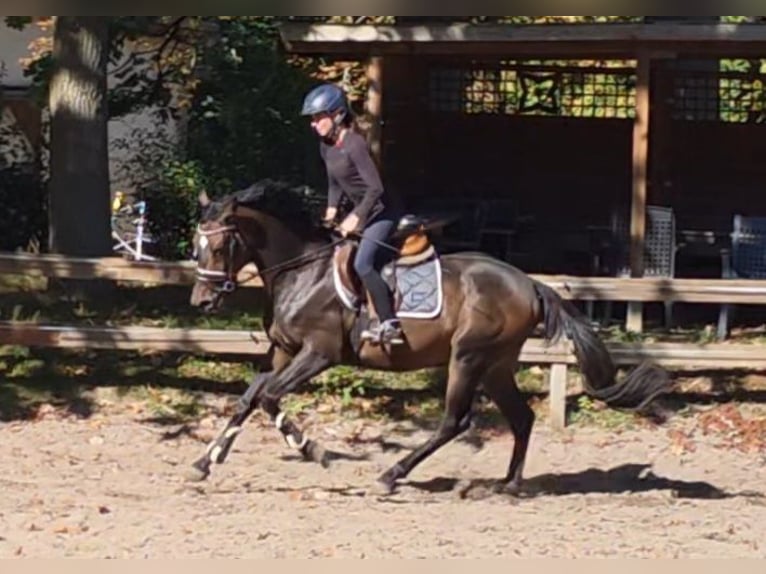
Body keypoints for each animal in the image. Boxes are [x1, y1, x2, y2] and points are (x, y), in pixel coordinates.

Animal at [185, 178, 672, 496]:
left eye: (219, 246)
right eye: (195, 245)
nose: (201, 302)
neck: (302, 271)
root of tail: (529, 283)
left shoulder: (318, 354)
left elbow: (268, 398)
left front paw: (317, 452)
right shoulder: (283, 351)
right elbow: (249, 399)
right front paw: (204, 465)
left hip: (468, 358)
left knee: (455, 421)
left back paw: (391, 475)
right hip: (495, 364)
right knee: (521, 418)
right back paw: (509, 484)